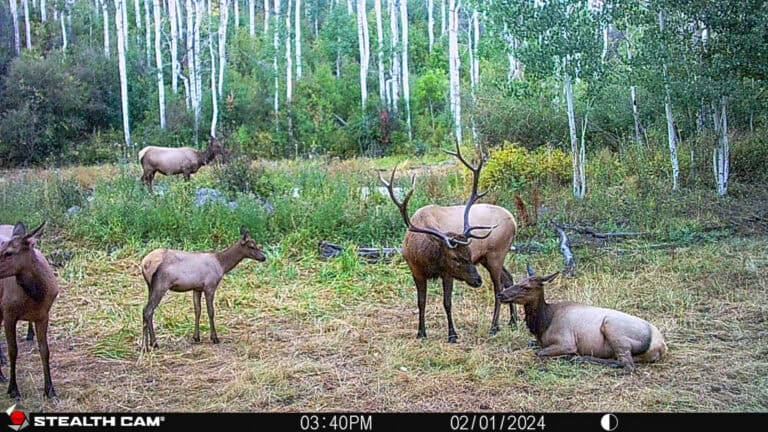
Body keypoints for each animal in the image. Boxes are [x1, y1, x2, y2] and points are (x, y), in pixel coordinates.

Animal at [0, 222, 58, 400]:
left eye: (9, 253)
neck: (36, 295)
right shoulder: (8, 313)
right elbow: (13, 351)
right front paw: (13, 389)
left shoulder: (43, 315)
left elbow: (45, 350)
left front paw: (50, 390)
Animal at [379, 143, 518, 343]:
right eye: (455, 258)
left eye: (468, 254)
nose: (477, 280)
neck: (424, 255)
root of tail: (514, 221)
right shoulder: (416, 270)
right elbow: (421, 302)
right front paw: (421, 333)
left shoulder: (447, 273)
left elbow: (447, 302)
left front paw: (452, 334)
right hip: (487, 257)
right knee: (509, 278)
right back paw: (513, 321)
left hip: (496, 253)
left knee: (498, 287)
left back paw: (494, 326)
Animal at [496, 266, 667, 370]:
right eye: (518, 281)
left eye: (526, 287)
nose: (501, 295)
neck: (542, 324)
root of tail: (661, 345)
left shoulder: (566, 342)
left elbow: (540, 352)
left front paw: (569, 355)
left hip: (612, 328)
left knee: (627, 365)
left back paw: (580, 358)